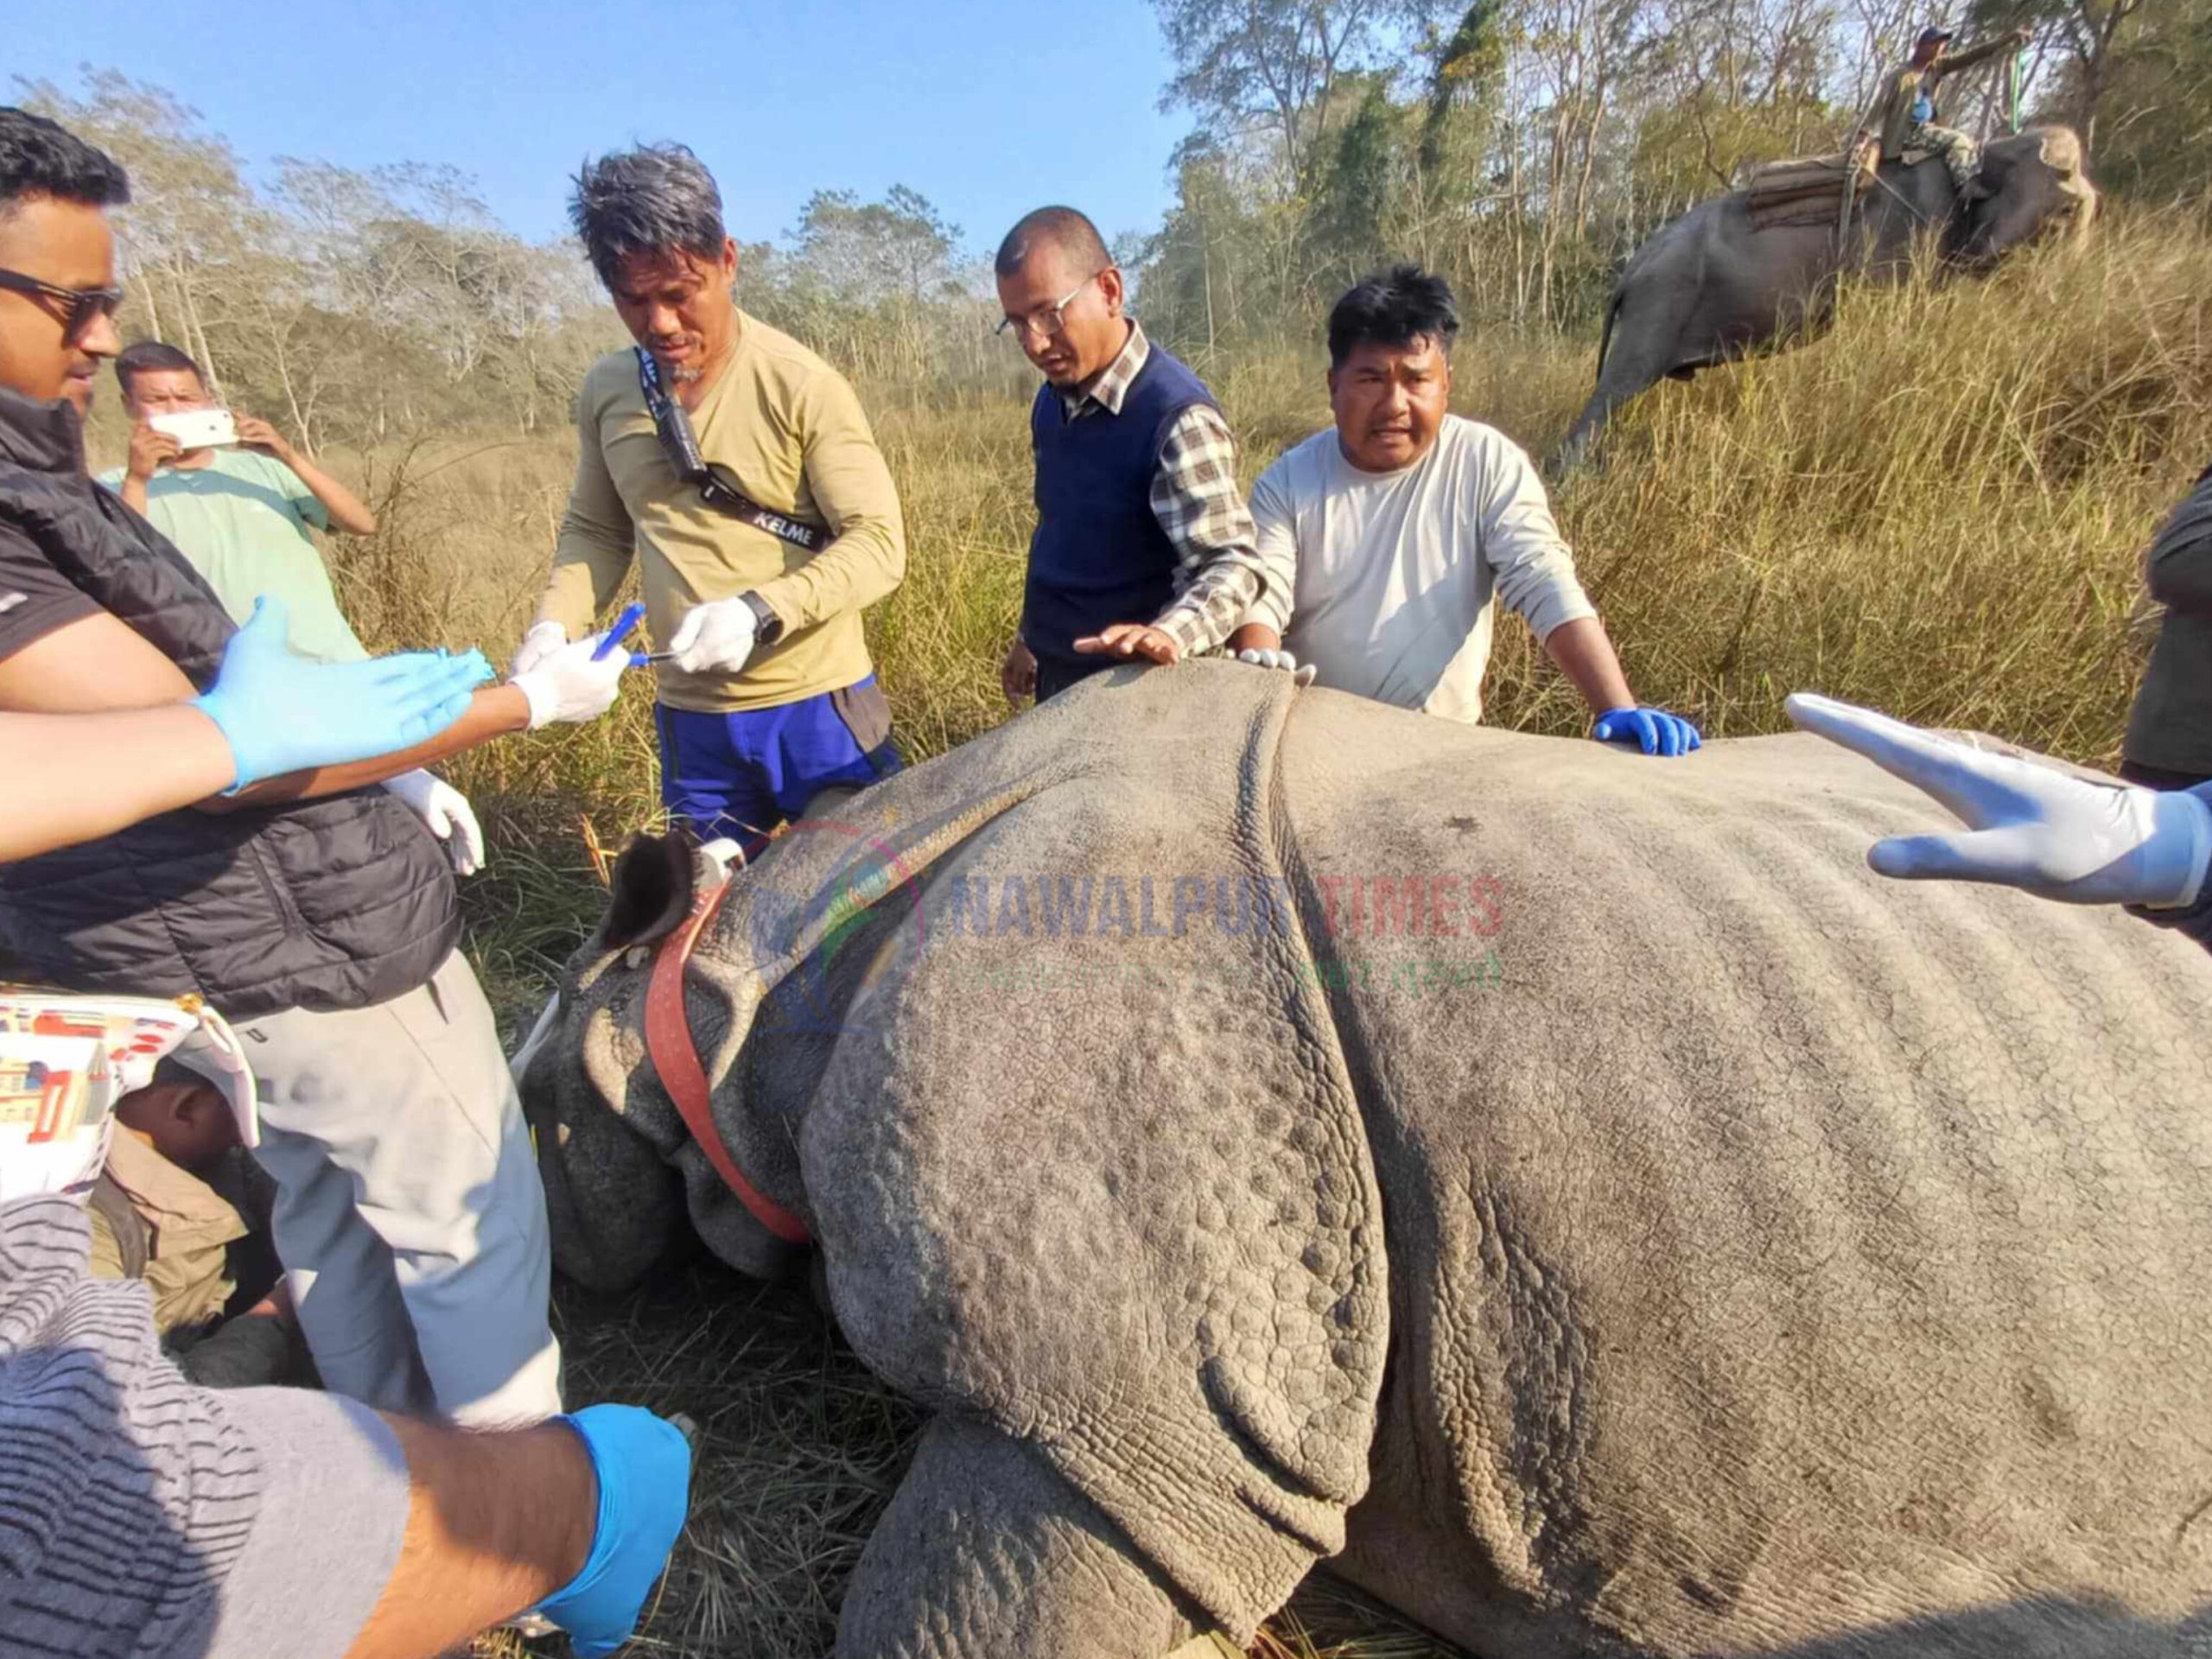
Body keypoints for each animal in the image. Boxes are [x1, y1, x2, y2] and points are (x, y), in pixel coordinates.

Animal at [1548, 124, 2096, 468]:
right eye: (2067, 210)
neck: (1988, 147)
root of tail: (1630, 269)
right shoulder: (1899, 241)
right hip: (1660, 304)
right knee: (1616, 390)